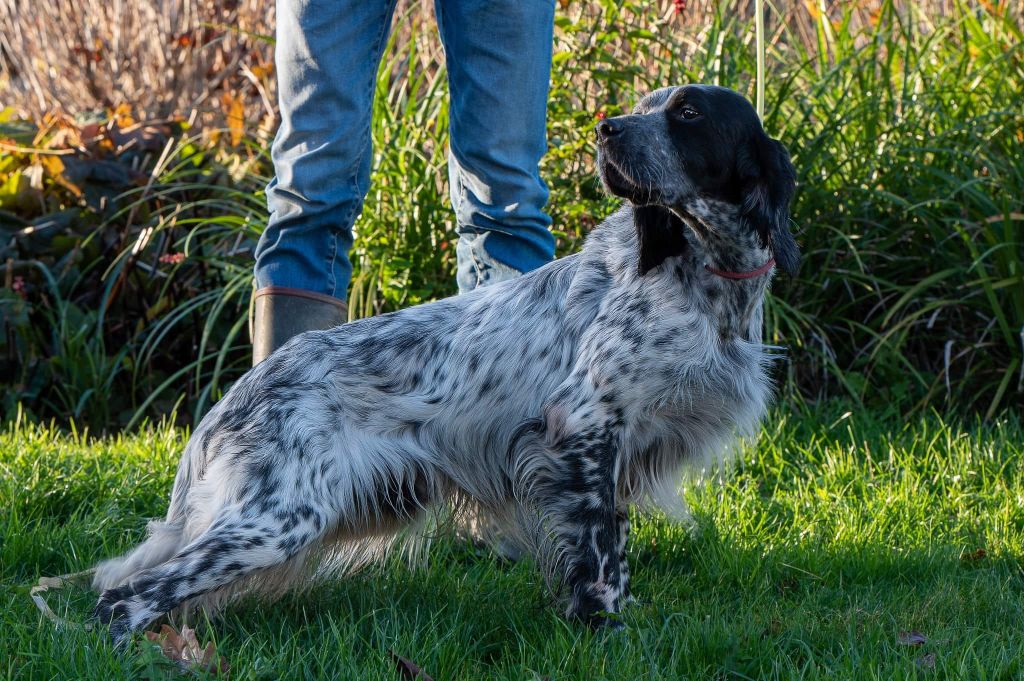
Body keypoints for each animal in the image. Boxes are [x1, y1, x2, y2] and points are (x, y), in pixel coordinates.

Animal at [92, 82, 798, 639]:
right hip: (279, 519)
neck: (701, 278)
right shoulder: (583, 425)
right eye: (650, 108)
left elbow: (608, 551)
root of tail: (239, 394)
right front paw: (607, 629)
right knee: (125, 596)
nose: (607, 128)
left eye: (687, 112)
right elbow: (599, 558)